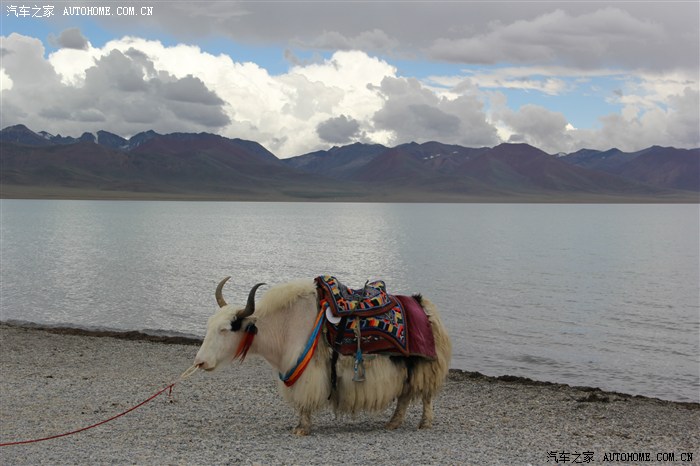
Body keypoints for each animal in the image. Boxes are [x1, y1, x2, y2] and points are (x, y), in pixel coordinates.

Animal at [193, 277, 451, 435]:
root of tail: (424, 304)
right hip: (406, 366)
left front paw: (302, 428)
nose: (200, 362)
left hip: (423, 363)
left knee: (425, 395)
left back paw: (424, 423)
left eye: (225, 329)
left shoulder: (309, 371)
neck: (283, 326)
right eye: (209, 326)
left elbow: (305, 400)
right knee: (406, 395)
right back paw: (393, 423)